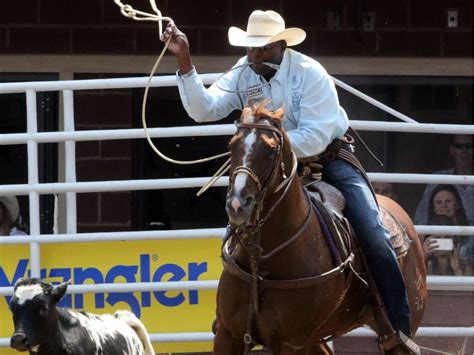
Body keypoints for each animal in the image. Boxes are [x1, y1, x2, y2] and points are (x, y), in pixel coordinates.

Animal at [213, 101, 428, 354]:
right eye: (232, 144)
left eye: (272, 149)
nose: (238, 204)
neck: (263, 265)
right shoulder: (227, 333)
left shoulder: (291, 342)